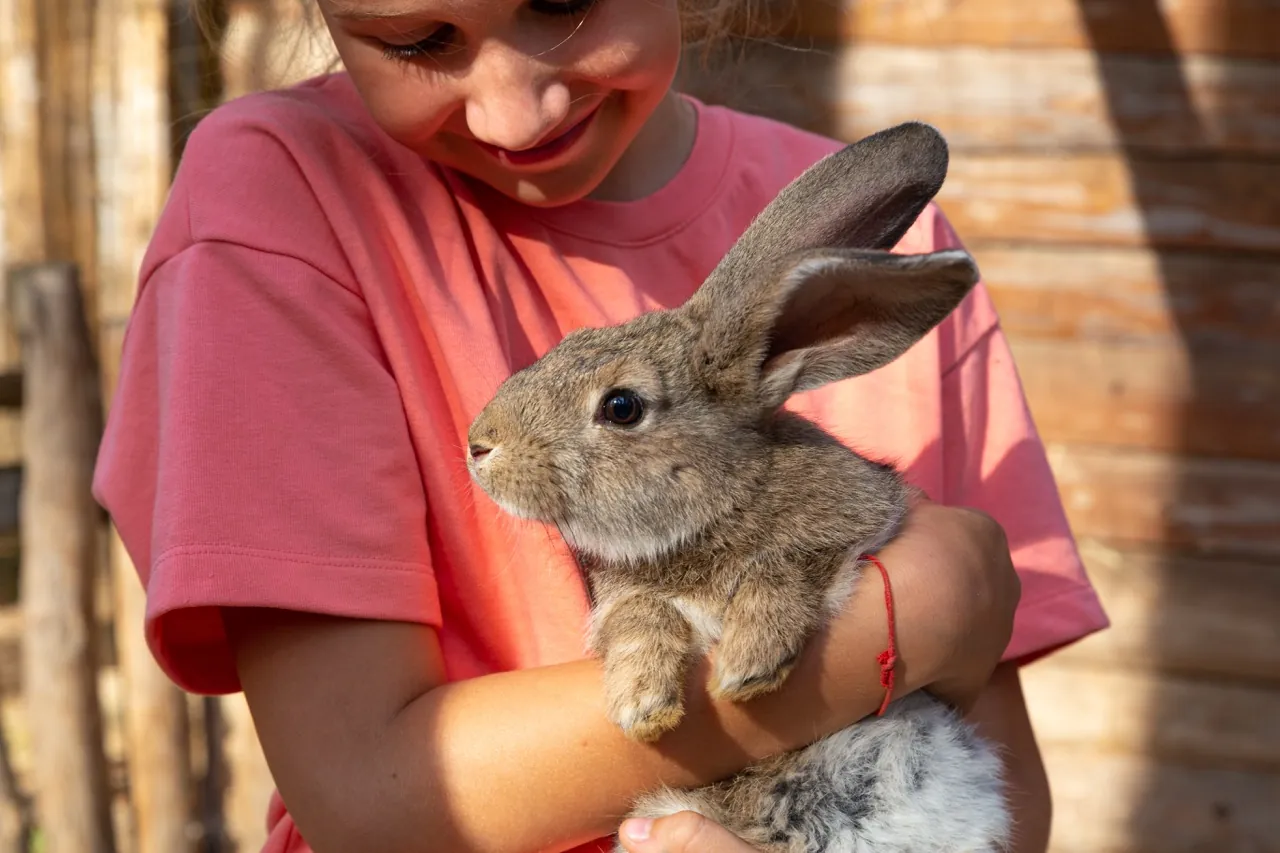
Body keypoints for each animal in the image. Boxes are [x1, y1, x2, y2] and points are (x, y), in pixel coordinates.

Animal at [465, 121, 1011, 853]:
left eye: (621, 407)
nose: (479, 444)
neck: (721, 501)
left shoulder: (856, 523)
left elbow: (787, 566)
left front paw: (750, 659)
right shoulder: (624, 597)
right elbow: (640, 612)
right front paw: (642, 701)